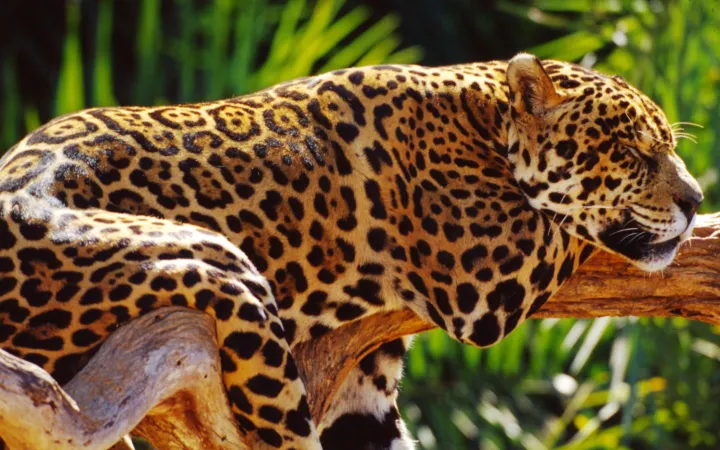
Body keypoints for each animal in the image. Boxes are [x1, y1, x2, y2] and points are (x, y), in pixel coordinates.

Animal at [0, 53, 703, 449]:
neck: (483, 112)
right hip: (217, 271)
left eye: (669, 146)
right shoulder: (485, 274)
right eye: (632, 154)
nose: (697, 200)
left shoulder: (364, 383)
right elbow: (568, 223)